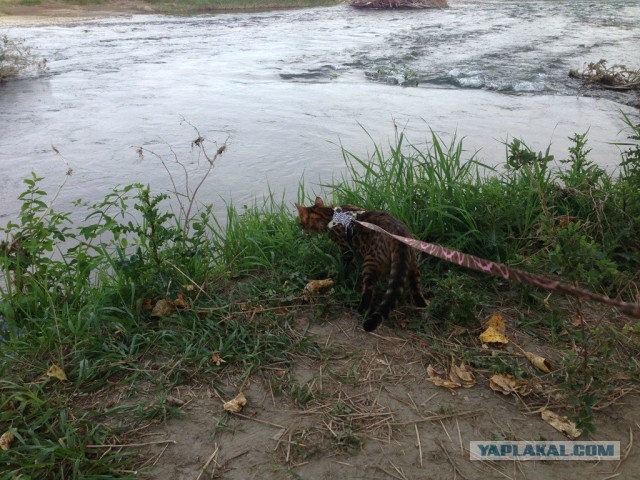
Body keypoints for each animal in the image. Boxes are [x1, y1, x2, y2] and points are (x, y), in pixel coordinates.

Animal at [296, 197, 428, 332]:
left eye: (301, 223)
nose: (301, 230)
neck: (330, 215)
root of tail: (399, 237)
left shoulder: (346, 249)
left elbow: (345, 266)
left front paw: (342, 276)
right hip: (412, 265)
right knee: (416, 288)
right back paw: (422, 306)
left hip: (370, 263)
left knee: (369, 291)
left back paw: (360, 309)